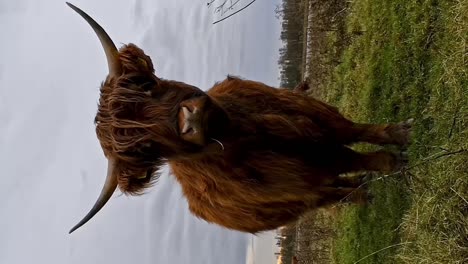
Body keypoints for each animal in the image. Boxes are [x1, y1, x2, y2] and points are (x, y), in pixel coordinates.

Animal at [67, 2, 412, 233]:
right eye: (147, 150)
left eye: (145, 85)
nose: (190, 121)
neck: (255, 134)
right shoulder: (306, 172)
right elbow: (353, 158)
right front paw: (392, 163)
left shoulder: (315, 115)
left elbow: (355, 130)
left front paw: (399, 133)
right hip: (300, 200)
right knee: (333, 193)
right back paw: (362, 193)